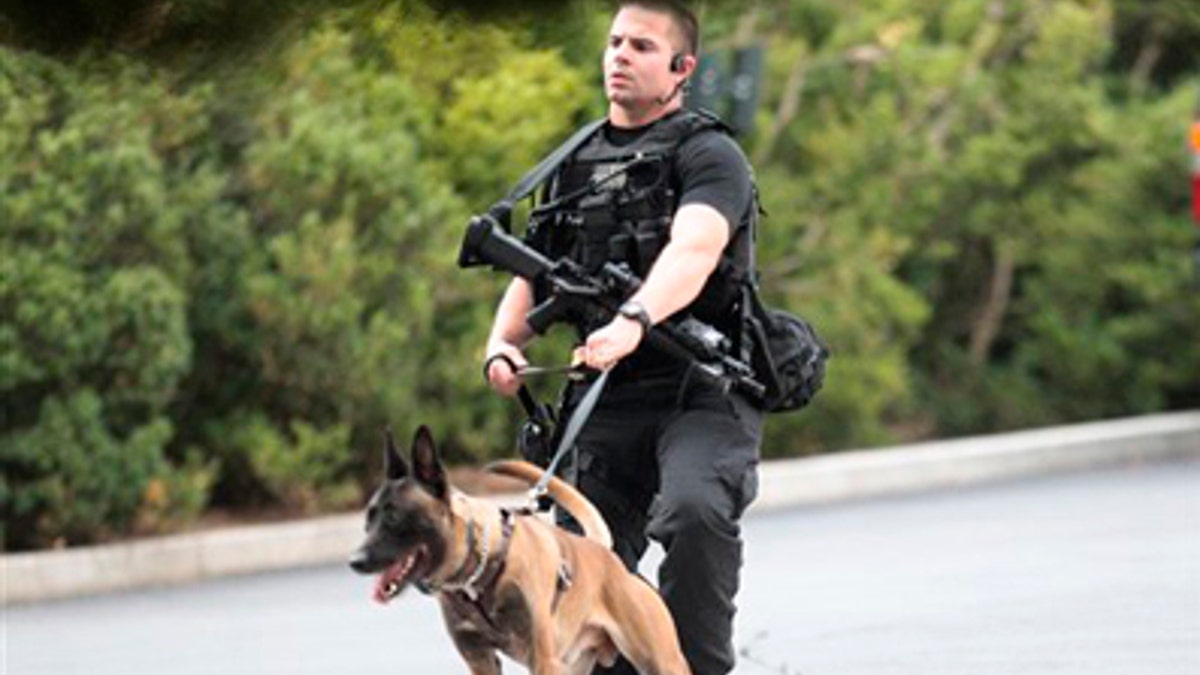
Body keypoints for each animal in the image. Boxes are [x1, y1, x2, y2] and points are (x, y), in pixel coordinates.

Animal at [348, 425, 691, 672]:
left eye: (394, 517)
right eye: (368, 520)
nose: (354, 561)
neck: (480, 571)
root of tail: (603, 553)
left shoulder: (543, 661)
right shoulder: (481, 661)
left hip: (663, 663)